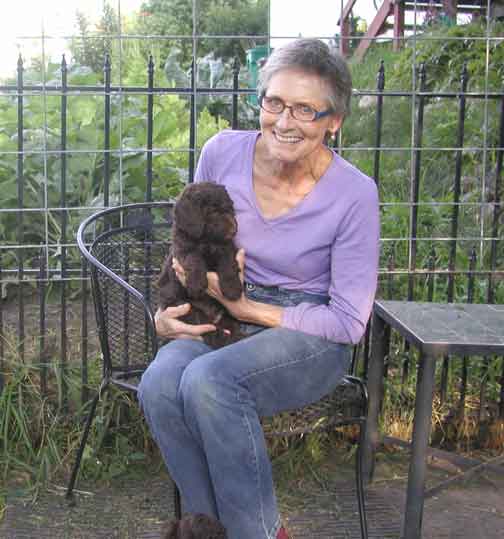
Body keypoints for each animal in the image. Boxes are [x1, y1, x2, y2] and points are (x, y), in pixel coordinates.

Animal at [158, 182, 244, 349]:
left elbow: (228, 265)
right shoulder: (183, 250)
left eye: (229, 209)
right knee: (204, 325)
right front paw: (197, 283)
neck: (206, 240)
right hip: (183, 306)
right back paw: (220, 338)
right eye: (213, 212)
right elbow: (194, 259)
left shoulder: (227, 248)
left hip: (226, 314)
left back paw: (236, 337)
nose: (234, 229)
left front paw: (232, 288)